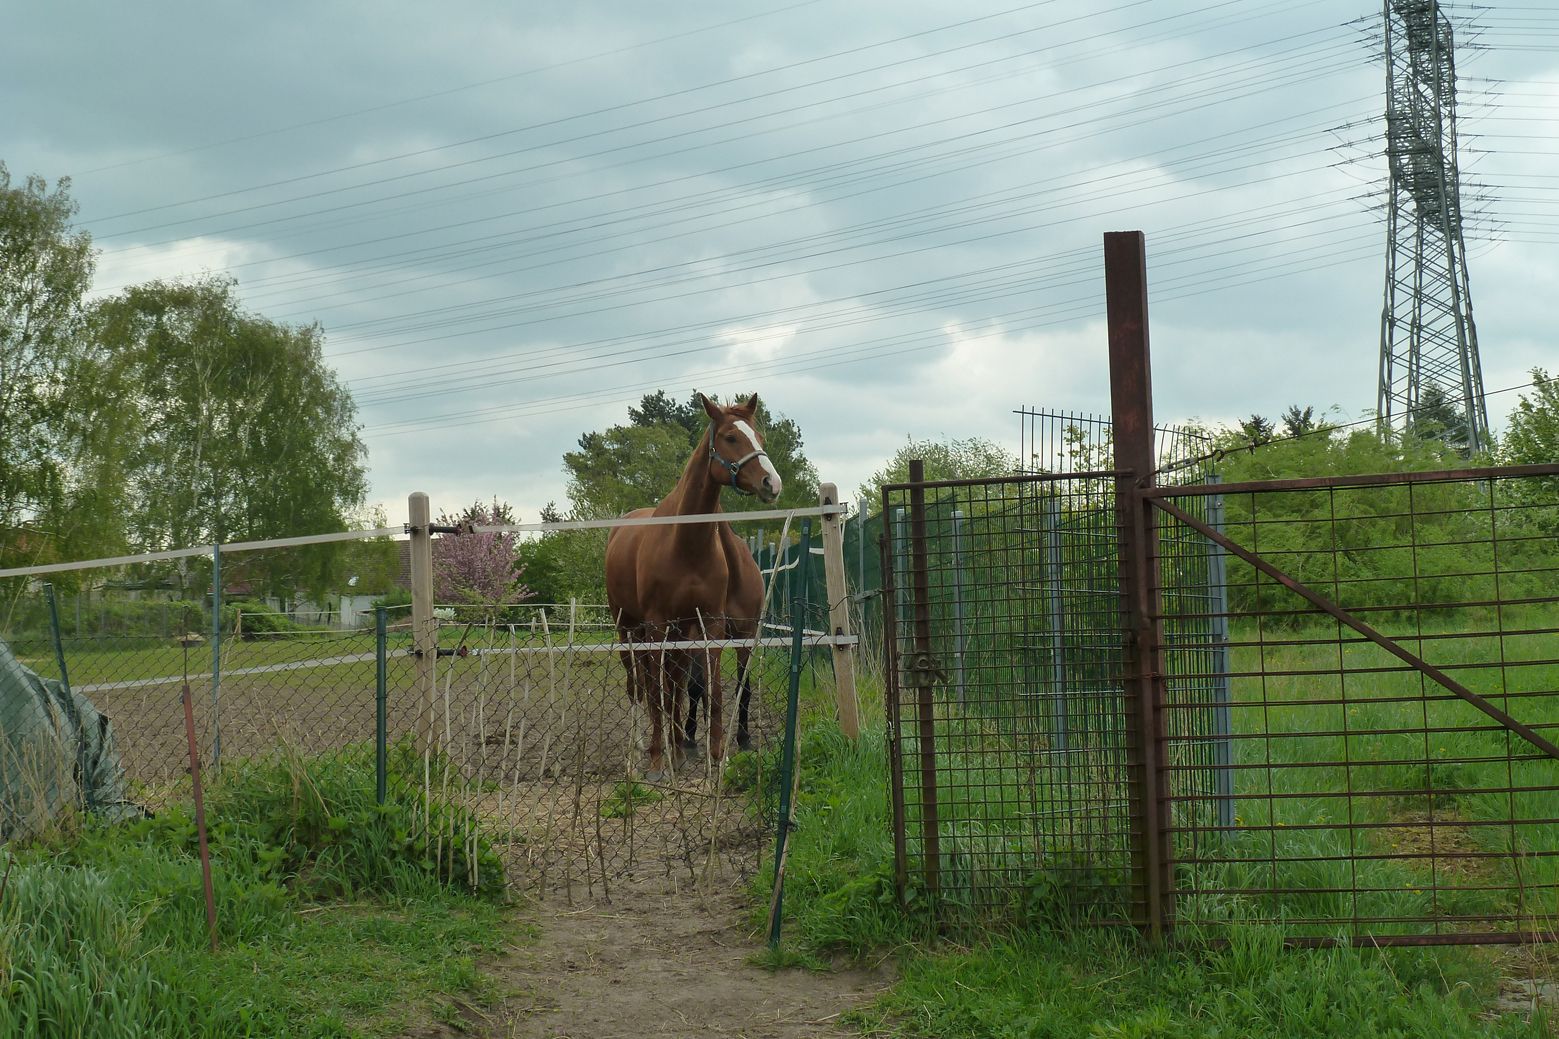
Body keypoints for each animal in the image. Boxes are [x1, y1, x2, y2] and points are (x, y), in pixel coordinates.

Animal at [604, 393, 781, 781]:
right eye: (731, 437)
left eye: (759, 436)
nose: (771, 483)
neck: (685, 543)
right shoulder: (656, 626)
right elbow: (658, 693)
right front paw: (657, 762)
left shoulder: (709, 625)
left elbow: (711, 692)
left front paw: (717, 757)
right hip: (628, 630)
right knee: (638, 688)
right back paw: (638, 754)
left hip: (677, 635)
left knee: (673, 687)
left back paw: (677, 748)